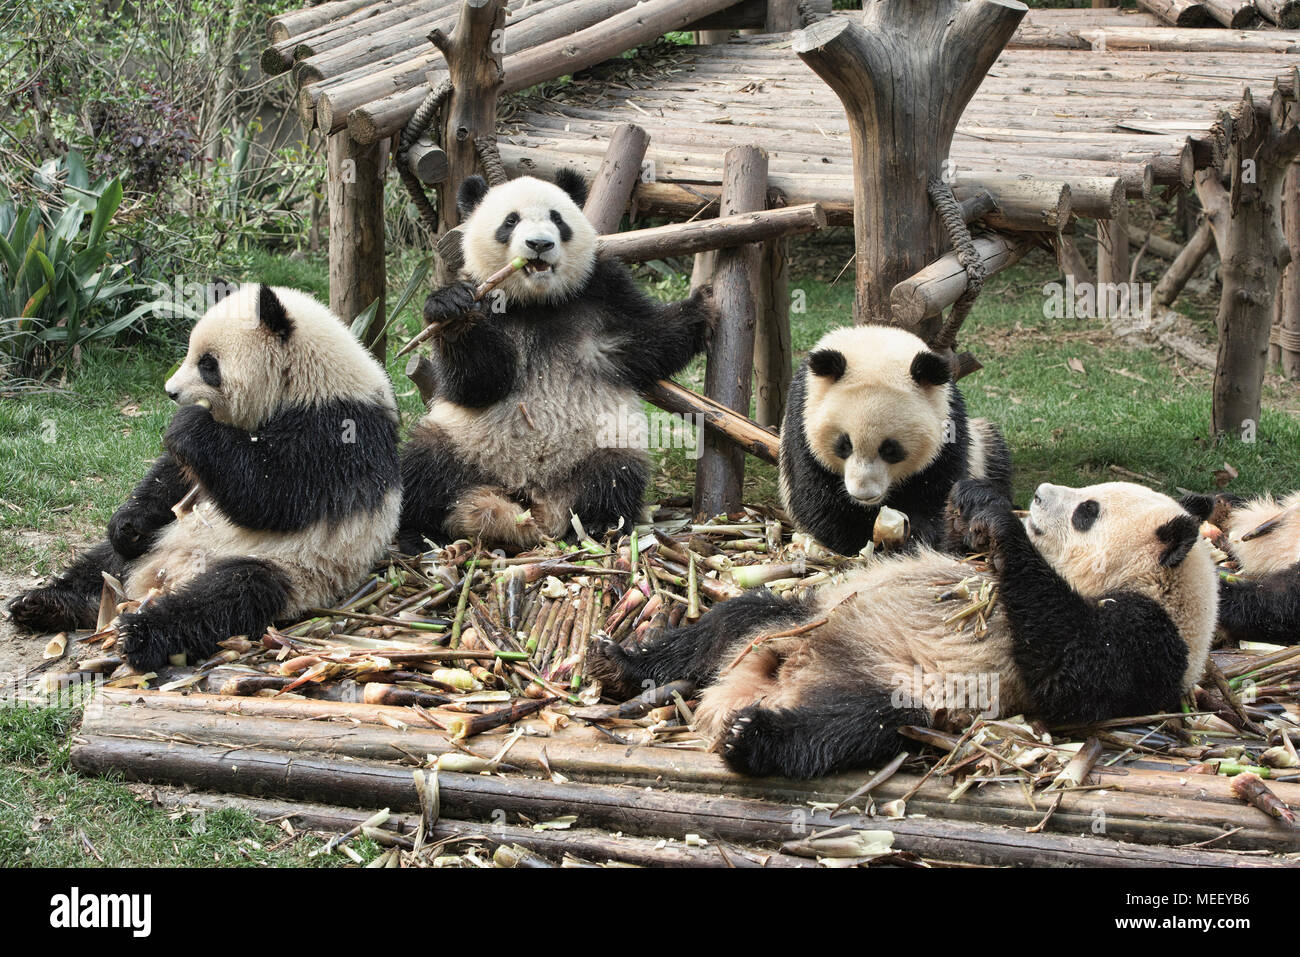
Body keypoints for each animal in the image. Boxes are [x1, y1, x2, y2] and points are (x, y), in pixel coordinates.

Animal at [6, 283, 400, 670]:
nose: (170, 391)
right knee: (100, 563)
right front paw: (128, 523)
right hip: (158, 542)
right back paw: (43, 604)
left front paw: (189, 424)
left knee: (226, 598)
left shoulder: (338, 431)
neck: (308, 381)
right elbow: (176, 477)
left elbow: (277, 495)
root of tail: (155, 580)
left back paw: (138, 633)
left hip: (293, 569)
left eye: (208, 364)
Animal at [400, 167, 717, 548]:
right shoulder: (484, 295)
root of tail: (533, 503)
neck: (536, 302)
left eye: (557, 219)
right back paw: (419, 531)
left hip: (601, 444)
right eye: (510, 220)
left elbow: (647, 338)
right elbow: (476, 384)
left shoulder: (602, 290)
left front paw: (703, 305)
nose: (539, 244)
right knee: (423, 466)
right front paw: (451, 310)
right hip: (463, 441)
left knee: (615, 473)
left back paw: (599, 524)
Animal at [590, 475, 1216, 780]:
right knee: (734, 620)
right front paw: (970, 505)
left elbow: (1073, 667)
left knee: (854, 726)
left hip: (899, 690)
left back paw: (750, 737)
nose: (1037, 496)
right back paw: (620, 664)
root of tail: (774, 677)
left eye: (1088, 511)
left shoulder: (1152, 639)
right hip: (799, 620)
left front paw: (999, 521)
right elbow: (943, 547)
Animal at [774, 325, 1008, 556]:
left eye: (890, 449)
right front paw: (868, 542)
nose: (864, 494)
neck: (875, 344)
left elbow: (939, 495)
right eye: (844, 445)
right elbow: (819, 501)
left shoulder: (948, 426)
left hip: (983, 446)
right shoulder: (802, 422)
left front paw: (913, 540)